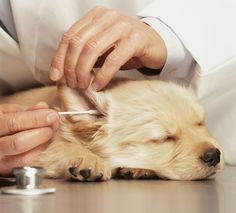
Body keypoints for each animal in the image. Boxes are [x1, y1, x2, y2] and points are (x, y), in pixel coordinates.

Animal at [1, 79, 223, 181]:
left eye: (200, 123)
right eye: (164, 138)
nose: (214, 155)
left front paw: (138, 168)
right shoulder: (47, 142)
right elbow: (61, 146)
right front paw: (87, 159)